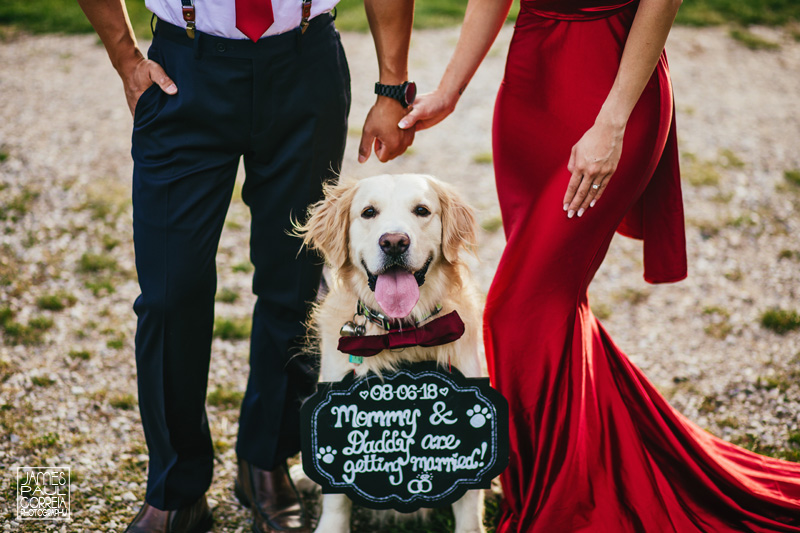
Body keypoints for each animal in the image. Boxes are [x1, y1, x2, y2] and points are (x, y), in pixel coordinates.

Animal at [298, 175, 484, 532]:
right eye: (368, 212)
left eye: (422, 210)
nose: (394, 242)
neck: (400, 332)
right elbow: (337, 498)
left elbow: (469, 509)